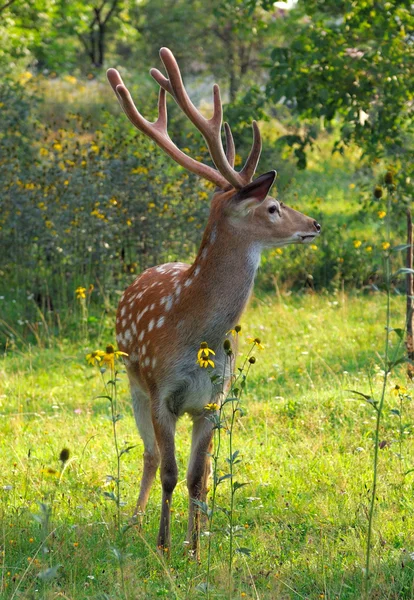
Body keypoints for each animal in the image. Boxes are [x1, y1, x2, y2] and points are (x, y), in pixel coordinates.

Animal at [106, 47, 320, 556]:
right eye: (272, 207)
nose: (315, 224)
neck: (196, 331)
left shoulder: (212, 403)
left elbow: (197, 478)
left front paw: (195, 547)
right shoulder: (162, 392)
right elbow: (168, 472)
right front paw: (164, 546)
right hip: (133, 383)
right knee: (148, 455)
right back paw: (134, 523)